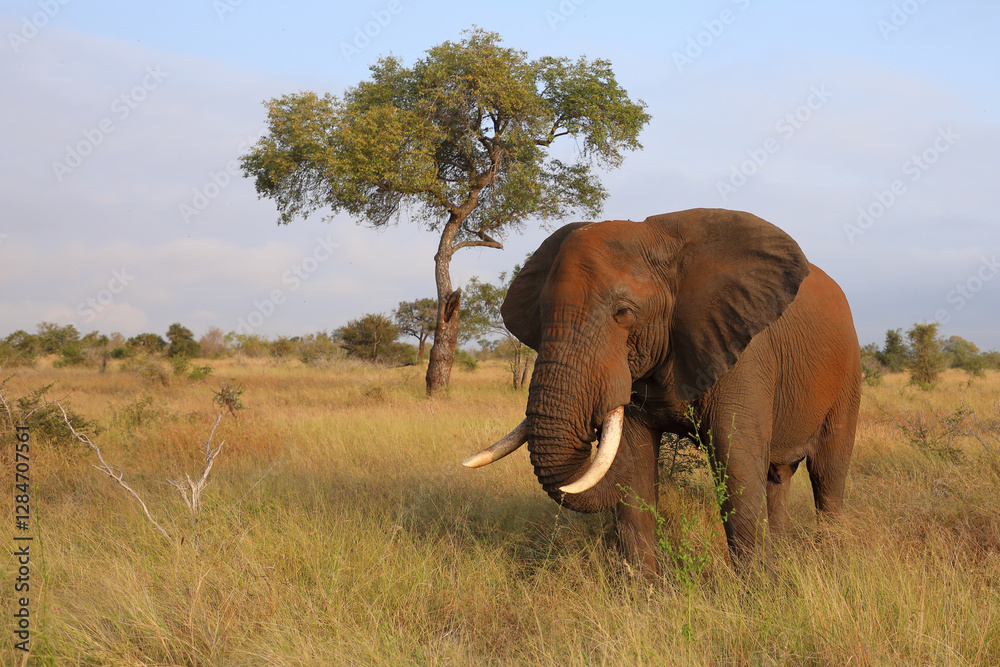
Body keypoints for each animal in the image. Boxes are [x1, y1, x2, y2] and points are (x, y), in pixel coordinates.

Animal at [464, 208, 861, 577]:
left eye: (623, 313)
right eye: (542, 314)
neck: (662, 242)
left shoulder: (747, 351)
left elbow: (735, 459)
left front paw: (758, 592)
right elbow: (635, 460)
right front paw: (645, 592)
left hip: (849, 372)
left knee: (827, 473)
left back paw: (830, 560)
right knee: (777, 477)